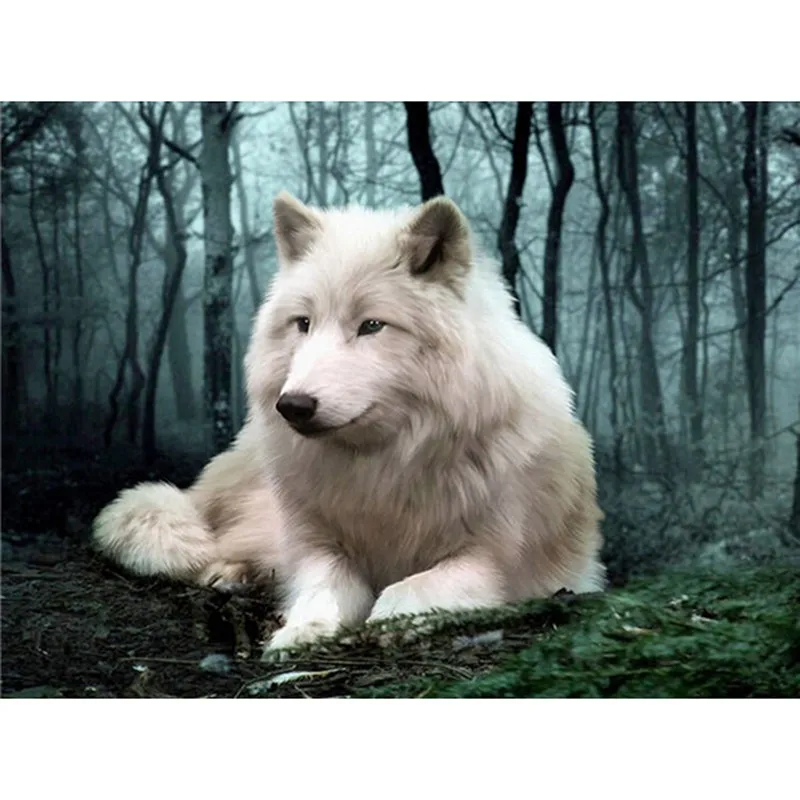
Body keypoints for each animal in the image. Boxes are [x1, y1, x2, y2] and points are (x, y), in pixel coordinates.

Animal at [93, 191, 605, 655]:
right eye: (303, 323)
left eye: (372, 326)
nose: (293, 406)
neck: (384, 467)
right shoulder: (317, 546)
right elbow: (324, 585)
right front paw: (303, 630)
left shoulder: (498, 562)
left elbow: (413, 585)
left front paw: (392, 618)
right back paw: (230, 574)